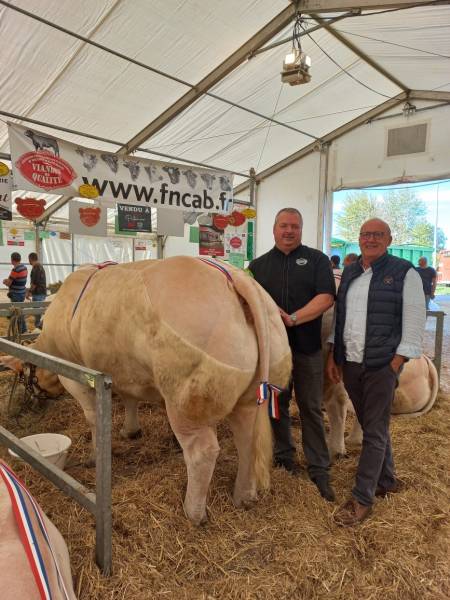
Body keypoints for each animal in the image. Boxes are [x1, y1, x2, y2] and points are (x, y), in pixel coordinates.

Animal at [4, 258, 292, 524]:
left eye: (24, 377)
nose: (30, 404)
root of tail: (235, 277)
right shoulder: (124, 371)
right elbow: (130, 399)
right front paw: (130, 431)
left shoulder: (75, 374)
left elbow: (92, 417)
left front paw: (94, 456)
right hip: (250, 395)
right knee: (247, 438)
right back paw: (244, 495)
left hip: (185, 399)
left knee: (203, 451)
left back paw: (193, 513)